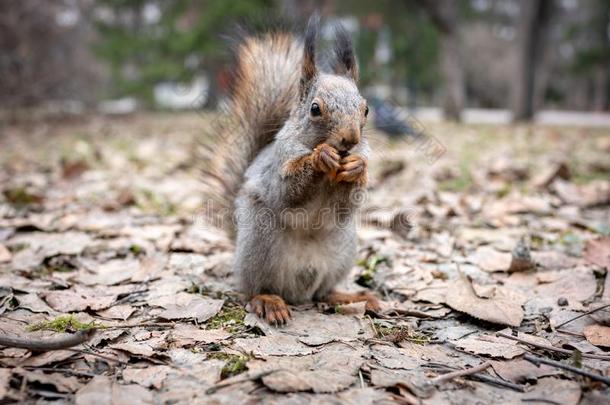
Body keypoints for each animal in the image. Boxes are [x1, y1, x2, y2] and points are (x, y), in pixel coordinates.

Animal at [200, 15, 378, 326]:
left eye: (365, 109)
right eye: (315, 109)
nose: (350, 140)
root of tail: (298, 292)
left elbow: (348, 205)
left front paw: (357, 167)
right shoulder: (278, 166)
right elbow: (287, 192)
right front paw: (320, 158)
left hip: (342, 250)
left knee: (323, 292)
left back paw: (349, 297)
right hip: (260, 241)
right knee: (255, 288)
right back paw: (269, 301)